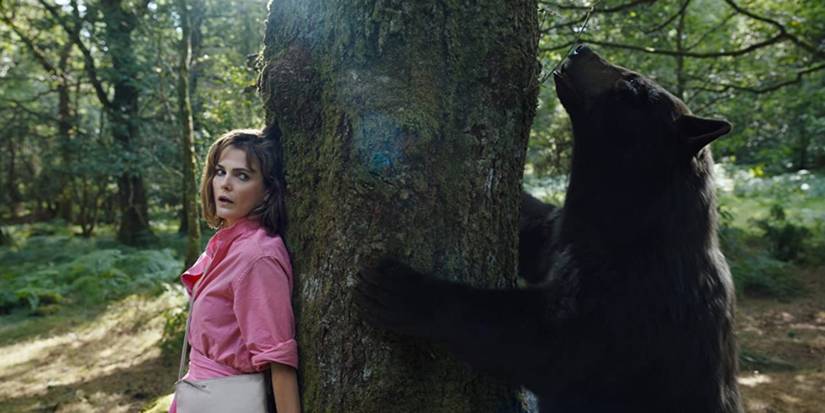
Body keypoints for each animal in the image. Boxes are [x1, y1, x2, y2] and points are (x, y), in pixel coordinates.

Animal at [355, 45, 742, 413]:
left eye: (632, 86)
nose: (581, 49)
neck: (626, 226)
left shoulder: (633, 305)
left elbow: (545, 344)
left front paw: (403, 288)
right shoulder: (563, 235)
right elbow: (534, 230)